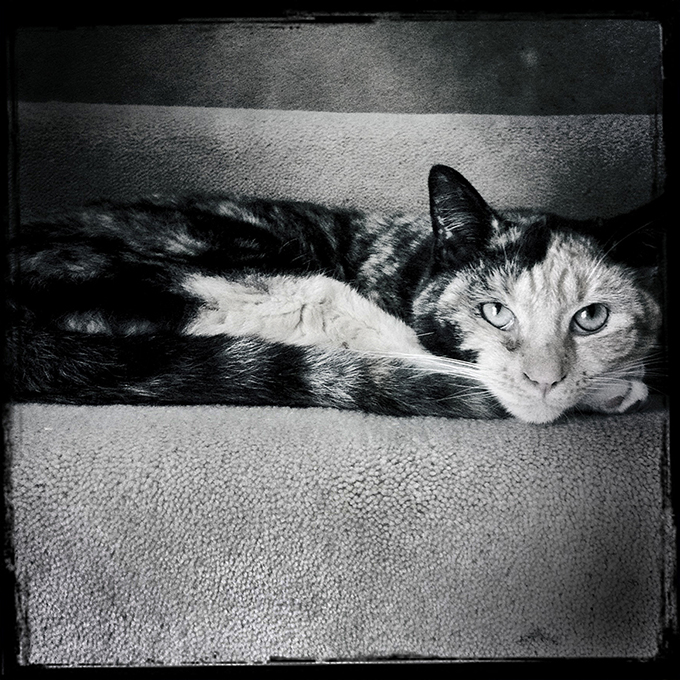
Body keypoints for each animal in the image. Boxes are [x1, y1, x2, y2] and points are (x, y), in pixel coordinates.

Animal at [7, 165, 664, 424]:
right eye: (495, 312)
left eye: (592, 318)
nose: (545, 379)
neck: (411, 263)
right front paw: (608, 388)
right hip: (291, 284)